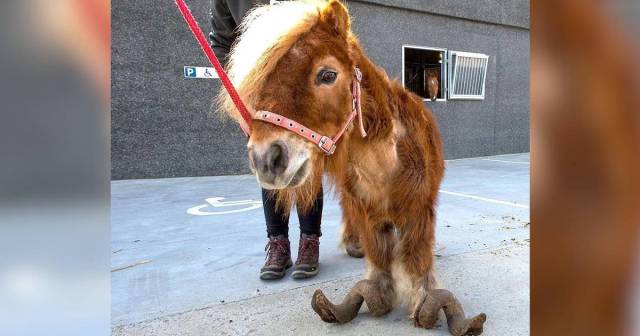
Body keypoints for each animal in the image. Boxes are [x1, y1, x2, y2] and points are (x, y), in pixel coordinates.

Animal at [220, 1, 484, 334]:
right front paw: (377, 289)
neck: (387, 165)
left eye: (328, 74)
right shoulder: (368, 213)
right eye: (263, 79)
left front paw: (424, 301)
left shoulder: (419, 211)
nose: (266, 159)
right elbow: (378, 264)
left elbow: (417, 259)